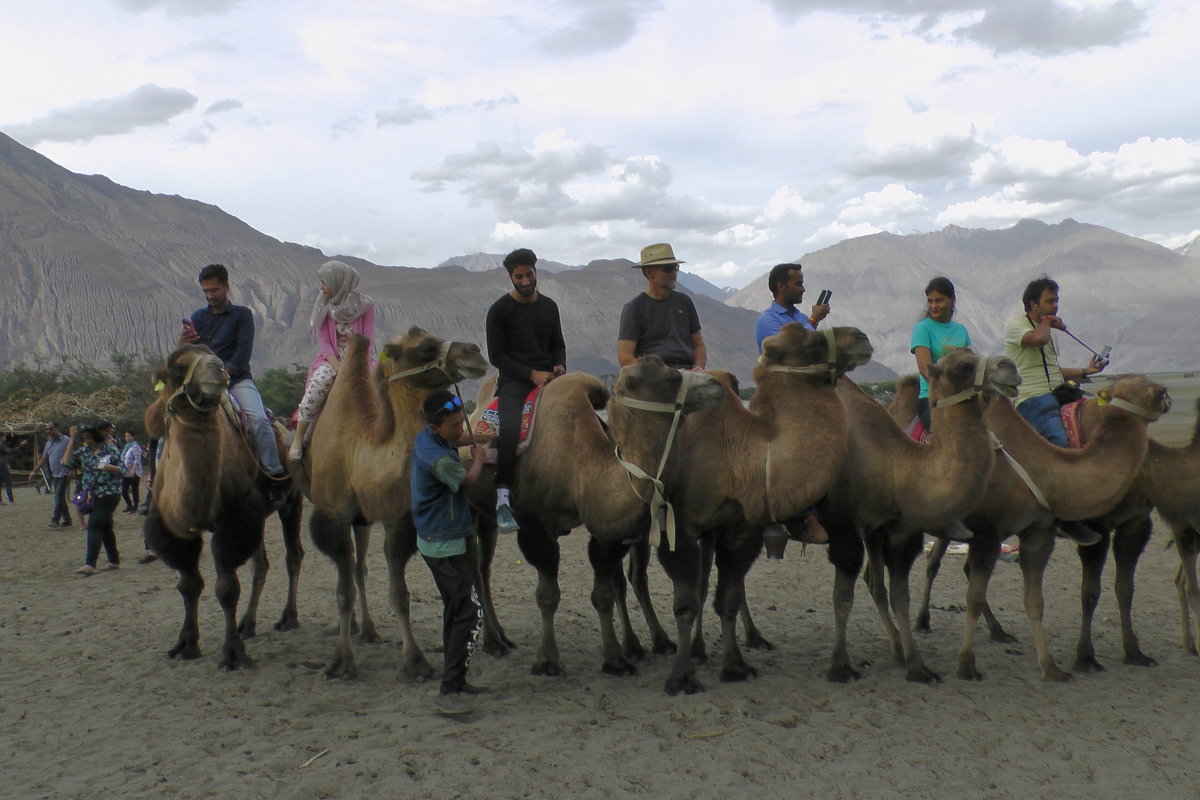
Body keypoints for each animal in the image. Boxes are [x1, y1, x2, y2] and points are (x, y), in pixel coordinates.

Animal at [141, 345, 304, 671]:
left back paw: (287, 618)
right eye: (176, 370)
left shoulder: (234, 520)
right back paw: (248, 624)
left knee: (293, 555)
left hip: (291, 500)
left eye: (213, 355)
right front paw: (186, 644)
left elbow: (227, 588)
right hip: (259, 514)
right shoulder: (173, 526)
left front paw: (233, 654)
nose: (218, 367)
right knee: (261, 564)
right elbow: (189, 584)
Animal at [307, 328, 489, 681]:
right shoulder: (333, 517)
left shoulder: (397, 518)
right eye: (426, 347)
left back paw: (366, 629)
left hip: (363, 521)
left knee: (360, 569)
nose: (475, 352)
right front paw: (341, 661)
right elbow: (342, 593)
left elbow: (399, 594)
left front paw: (414, 662)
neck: (360, 451)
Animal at [463, 357, 715, 690]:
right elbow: (547, 595)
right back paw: (494, 642)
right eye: (671, 376)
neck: (579, 463)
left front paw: (615, 660)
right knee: (477, 569)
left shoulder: (606, 530)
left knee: (482, 568)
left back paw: (500, 637)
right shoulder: (532, 523)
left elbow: (603, 594)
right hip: (473, 508)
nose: (715, 383)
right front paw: (547, 661)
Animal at [820, 347, 1017, 681]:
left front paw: (916, 665)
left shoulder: (901, 533)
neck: (899, 464)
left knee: (875, 583)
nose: (1010, 366)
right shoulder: (844, 529)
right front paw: (839, 666)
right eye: (963, 366)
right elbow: (843, 598)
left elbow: (901, 597)